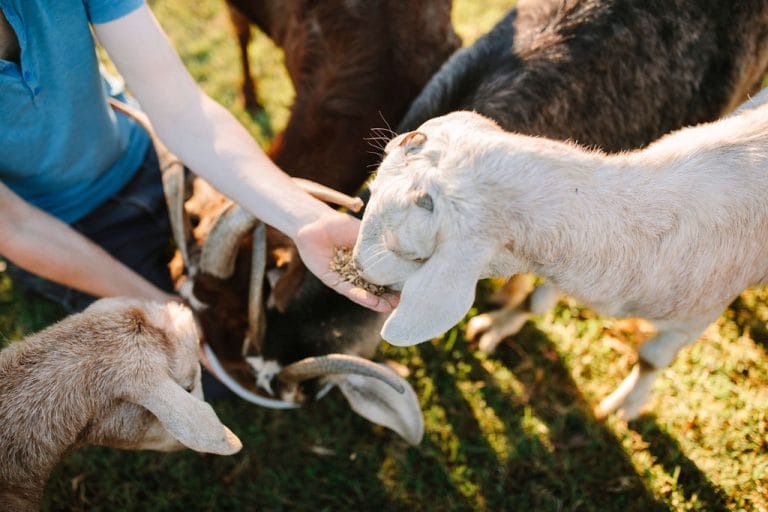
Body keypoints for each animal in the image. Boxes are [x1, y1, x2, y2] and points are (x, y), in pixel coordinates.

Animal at [353, 92, 768, 421]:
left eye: (409, 253)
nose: (357, 266)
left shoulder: (698, 316)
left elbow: (652, 358)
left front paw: (623, 407)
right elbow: (536, 300)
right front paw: (495, 327)